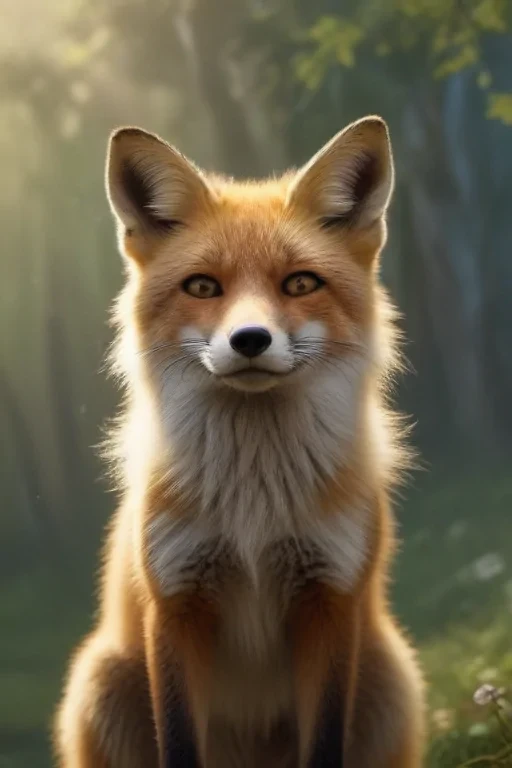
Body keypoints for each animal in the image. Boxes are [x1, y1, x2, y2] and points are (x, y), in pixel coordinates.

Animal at [54, 115, 425, 768]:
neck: (255, 503)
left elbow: (324, 745)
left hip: (390, 678)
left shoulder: (329, 600)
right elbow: (179, 744)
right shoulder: (177, 602)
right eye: (203, 287)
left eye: (300, 283)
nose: (250, 339)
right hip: (100, 682)